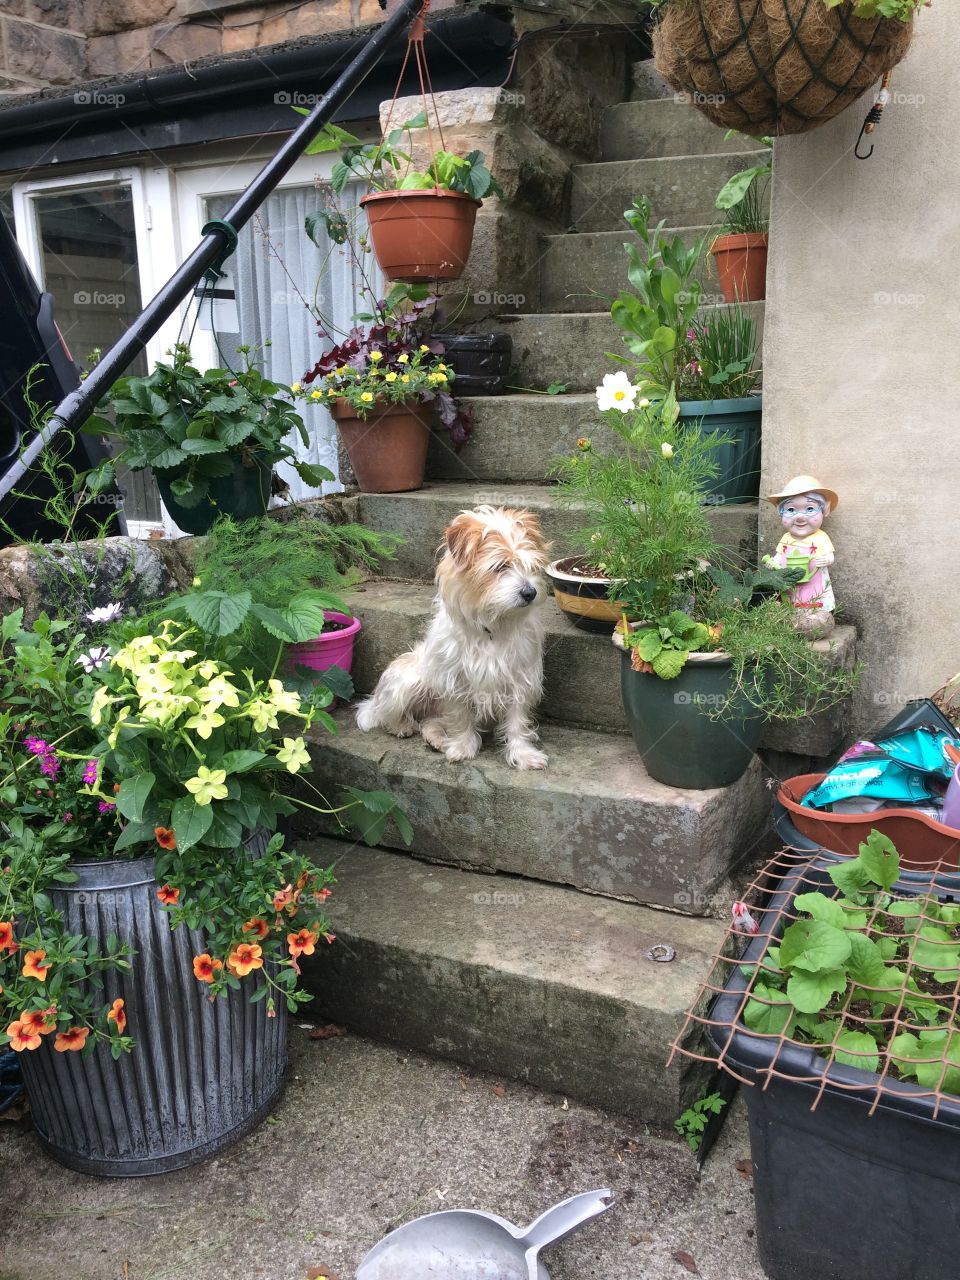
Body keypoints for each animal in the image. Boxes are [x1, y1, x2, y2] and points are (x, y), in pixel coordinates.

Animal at [353, 506, 547, 768]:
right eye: (500, 567)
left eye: (530, 565)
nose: (530, 592)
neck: (491, 627)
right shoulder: (454, 679)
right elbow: (461, 716)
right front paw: (462, 747)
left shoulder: (520, 678)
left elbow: (517, 722)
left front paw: (523, 754)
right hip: (407, 682)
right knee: (389, 714)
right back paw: (402, 727)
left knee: (431, 722)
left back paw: (435, 738)